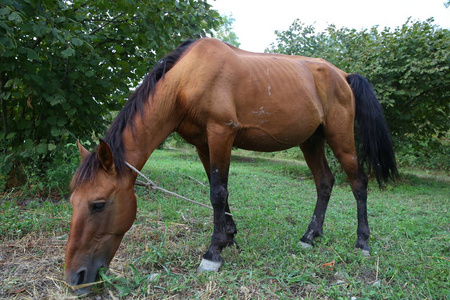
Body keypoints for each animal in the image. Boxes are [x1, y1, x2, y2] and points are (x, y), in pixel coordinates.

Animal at [64, 37, 398, 292]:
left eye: (97, 204)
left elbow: (218, 192)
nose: (75, 278)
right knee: (325, 182)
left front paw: (213, 253)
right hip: (311, 141)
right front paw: (229, 236)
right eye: (72, 202)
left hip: (340, 139)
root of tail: (343, 75)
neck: (186, 79)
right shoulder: (202, 142)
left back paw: (362, 243)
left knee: (358, 183)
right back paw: (309, 237)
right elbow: (218, 192)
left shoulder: (221, 132)